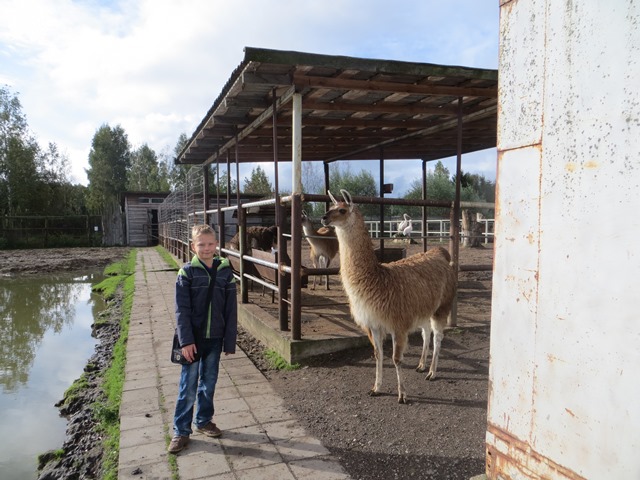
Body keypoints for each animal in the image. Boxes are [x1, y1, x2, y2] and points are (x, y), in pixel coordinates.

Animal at [321, 189, 457, 404]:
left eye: (341, 210)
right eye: (330, 206)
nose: (324, 218)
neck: (377, 281)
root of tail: (438, 252)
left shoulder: (397, 323)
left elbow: (396, 358)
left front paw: (402, 395)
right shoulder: (373, 324)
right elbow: (378, 355)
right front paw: (376, 388)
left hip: (442, 306)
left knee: (437, 336)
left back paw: (432, 372)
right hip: (422, 307)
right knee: (426, 332)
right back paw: (421, 365)